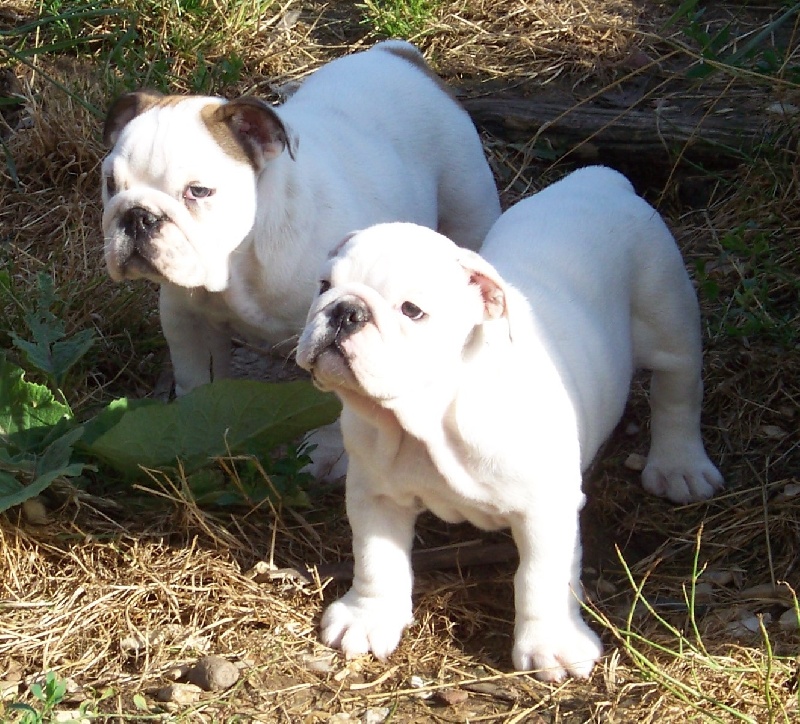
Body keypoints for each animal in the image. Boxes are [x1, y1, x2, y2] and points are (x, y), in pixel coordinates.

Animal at [100, 42, 500, 476]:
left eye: (199, 191)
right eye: (110, 184)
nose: (137, 215)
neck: (240, 261)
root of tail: (398, 53)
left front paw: (324, 456)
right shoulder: (187, 319)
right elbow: (197, 380)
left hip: (467, 204)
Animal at [296, 167, 724, 680]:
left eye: (412, 311)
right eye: (323, 285)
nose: (344, 311)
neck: (425, 418)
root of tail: (601, 179)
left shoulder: (545, 509)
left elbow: (540, 577)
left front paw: (550, 645)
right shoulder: (375, 494)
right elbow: (377, 557)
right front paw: (367, 616)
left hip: (667, 317)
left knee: (677, 390)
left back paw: (680, 465)